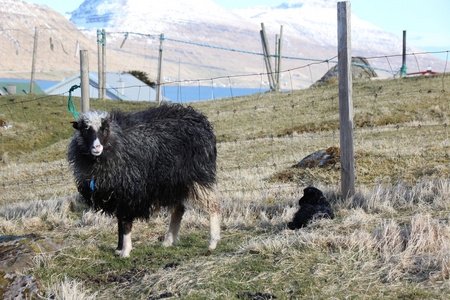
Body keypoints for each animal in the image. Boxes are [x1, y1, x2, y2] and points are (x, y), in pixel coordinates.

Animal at [67, 104, 221, 256]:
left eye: (105, 129)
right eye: (85, 130)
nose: (96, 147)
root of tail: (199, 119)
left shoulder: (129, 192)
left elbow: (126, 223)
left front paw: (125, 251)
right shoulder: (116, 196)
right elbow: (120, 223)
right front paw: (119, 248)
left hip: (199, 176)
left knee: (213, 205)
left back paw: (213, 242)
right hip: (173, 182)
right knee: (179, 209)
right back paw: (168, 241)